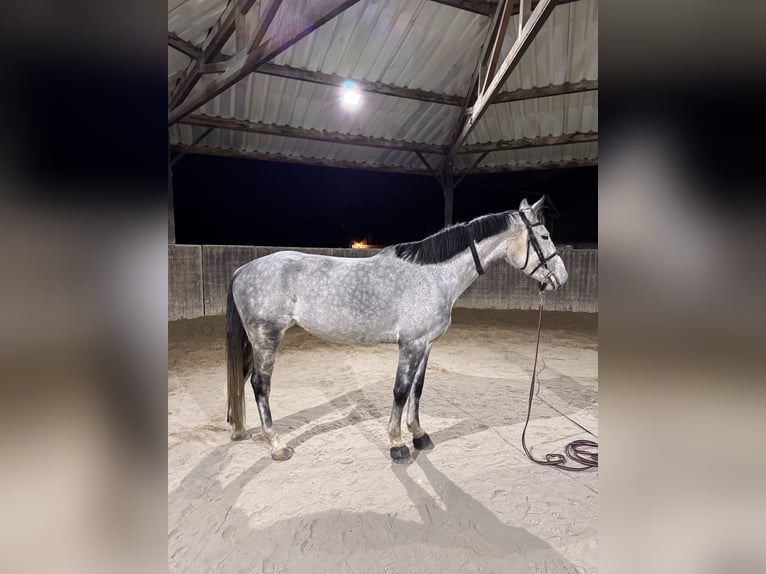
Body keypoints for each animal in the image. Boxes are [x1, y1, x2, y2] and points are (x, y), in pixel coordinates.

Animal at [225, 197, 568, 463]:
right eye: (545, 236)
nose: (561, 278)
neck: (433, 275)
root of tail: (243, 270)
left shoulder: (425, 344)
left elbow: (417, 389)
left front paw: (419, 435)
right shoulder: (411, 345)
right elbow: (400, 391)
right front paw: (397, 443)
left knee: (241, 380)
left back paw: (241, 430)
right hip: (267, 339)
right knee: (260, 386)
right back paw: (276, 445)